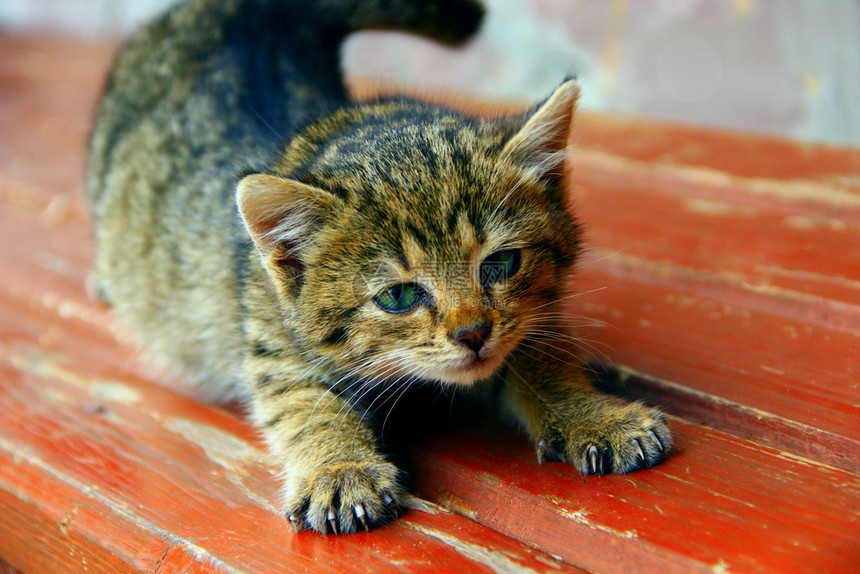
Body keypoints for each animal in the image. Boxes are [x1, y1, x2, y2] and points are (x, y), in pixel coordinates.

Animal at [85, 0, 672, 536]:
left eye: (501, 263)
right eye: (398, 297)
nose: (472, 334)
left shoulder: (531, 317)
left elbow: (543, 353)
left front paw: (594, 414)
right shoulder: (274, 343)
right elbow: (303, 406)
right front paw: (340, 469)